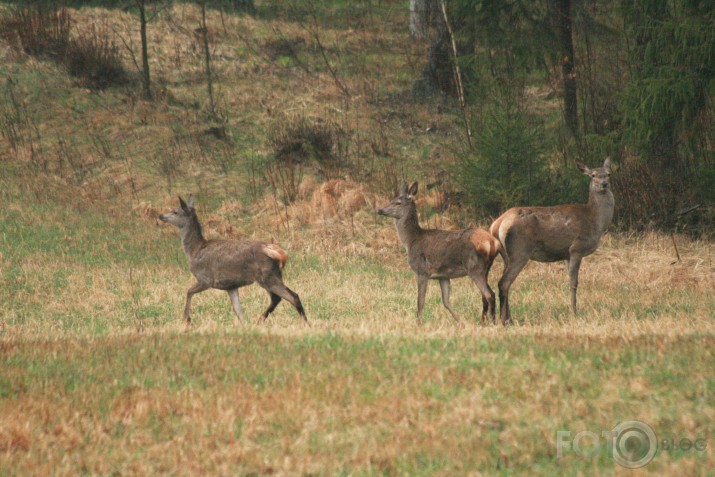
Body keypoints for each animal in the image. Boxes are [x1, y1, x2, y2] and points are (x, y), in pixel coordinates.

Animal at [159, 193, 308, 324]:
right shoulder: (230, 286)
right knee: (278, 298)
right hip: (273, 275)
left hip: (267, 276)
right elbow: (238, 310)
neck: (194, 250)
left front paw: (186, 320)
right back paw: (261, 320)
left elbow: (188, 291)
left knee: (292, 296)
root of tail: (280, 253)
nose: (161, 216)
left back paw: (305, 324)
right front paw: (244, 325)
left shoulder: (205, 278)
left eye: (175, 212)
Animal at [378, 181, 500, 324]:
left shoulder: (422, 270)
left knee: (489, 295)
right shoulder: (443, 276)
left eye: (398, 202)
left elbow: (421, 301)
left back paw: (492, 322)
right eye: (392, 200)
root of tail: (493, 243)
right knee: (489, 294)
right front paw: (460, 321)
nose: (380, 210)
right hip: (484, 269)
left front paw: (418, 323)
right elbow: (446, 301)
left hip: (475, 267)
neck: (411, 240)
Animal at [492, 157, 616, 324]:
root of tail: (498, 224)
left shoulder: (566, 254)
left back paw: (508, 319)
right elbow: (574, 282)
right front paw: (574, 312)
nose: (604, 184)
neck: (595, 221)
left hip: (507, 255)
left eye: (608, 174)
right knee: (504, 282)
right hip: (520, 250)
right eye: (593, 175)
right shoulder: (576, 248)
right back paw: (506, 321)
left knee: (505, 282)